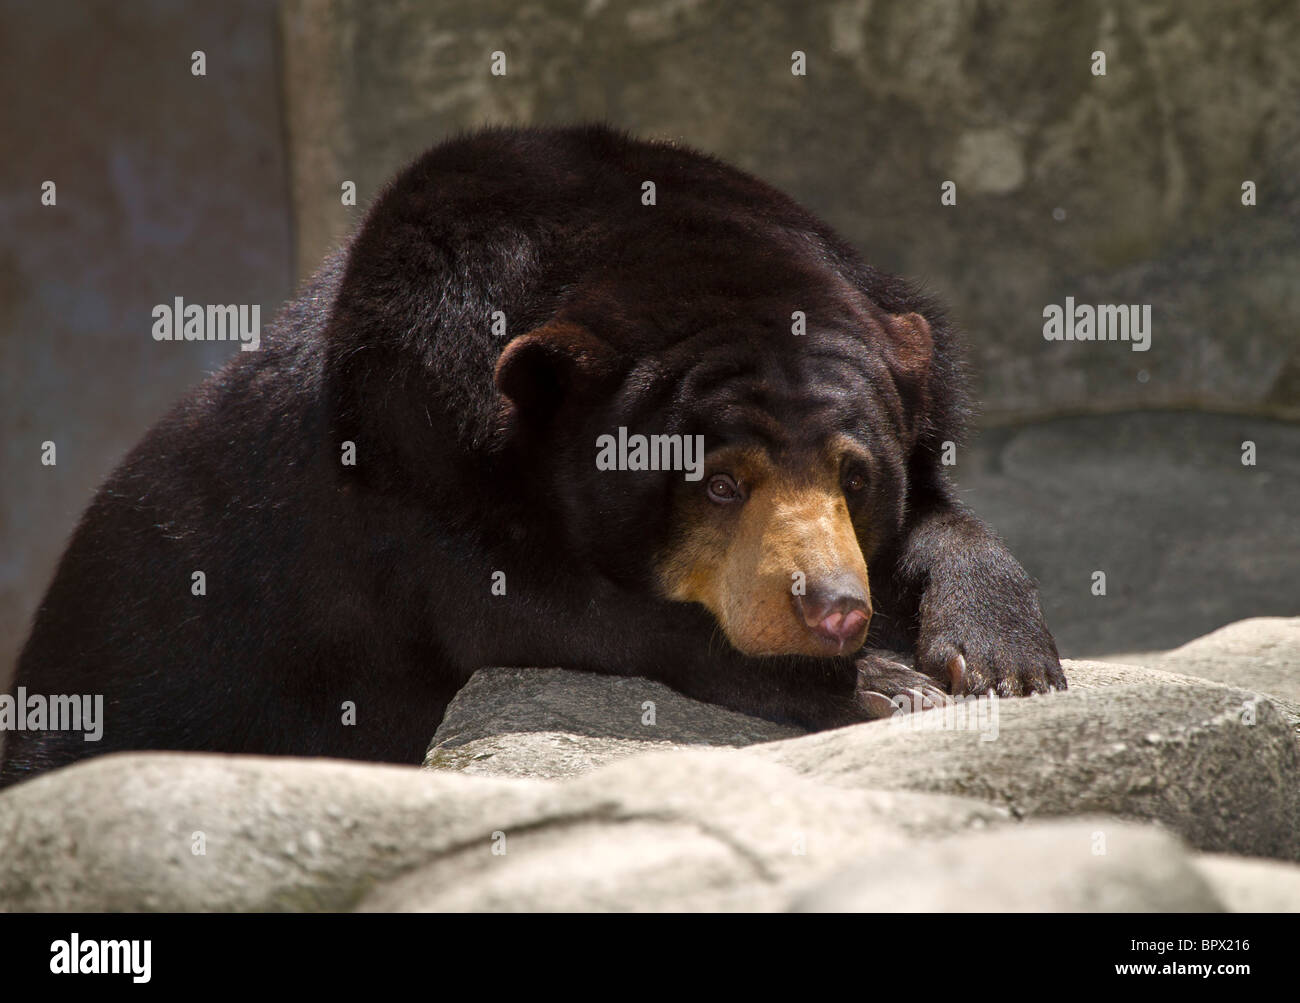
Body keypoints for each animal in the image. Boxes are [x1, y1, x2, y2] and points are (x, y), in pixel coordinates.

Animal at [0, 124, 1064, 788]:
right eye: (718, 483)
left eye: (855, 476)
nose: (835, 610)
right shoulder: (407, 462)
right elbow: (551, 613)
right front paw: (883, 684)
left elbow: (942, 513)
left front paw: (1001, 657)